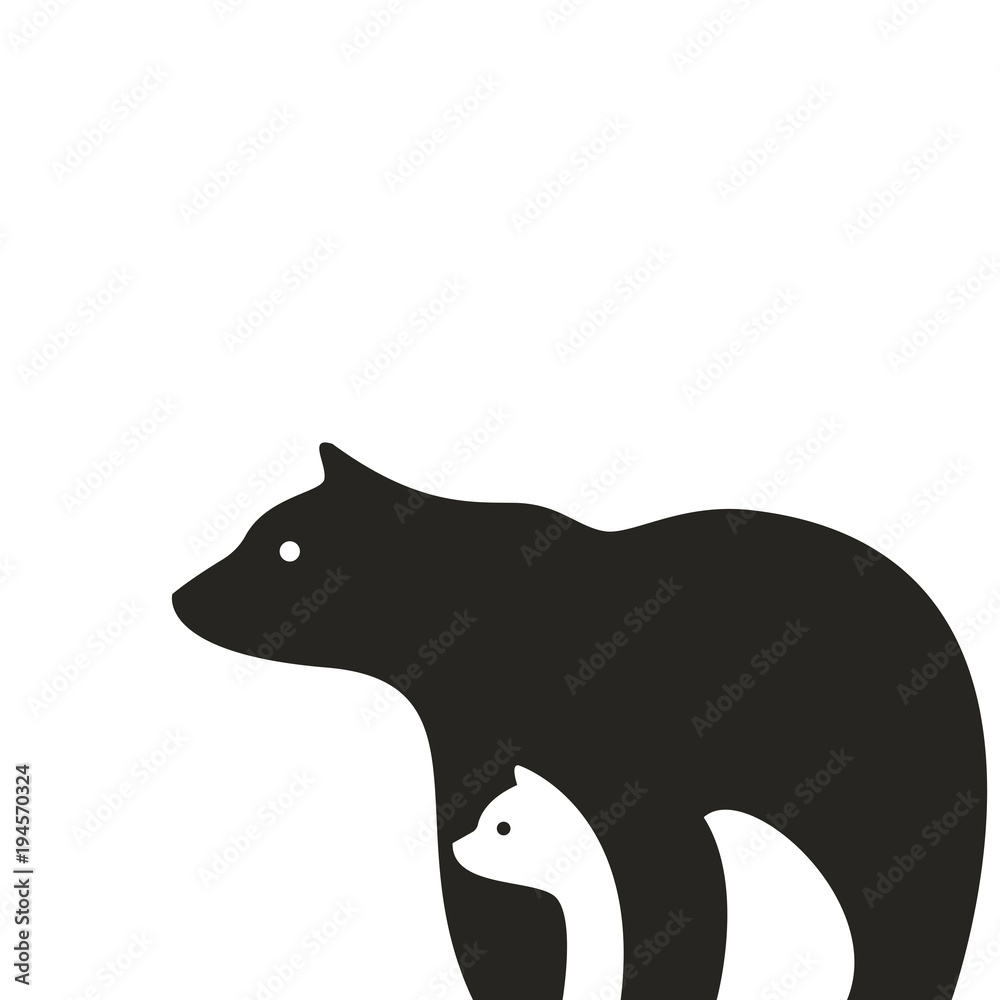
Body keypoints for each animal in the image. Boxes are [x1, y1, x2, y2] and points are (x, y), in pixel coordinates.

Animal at [173, 442, 987, 1000]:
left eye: (284, 545)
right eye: (257, 532)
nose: (182, 595)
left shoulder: (629, 768)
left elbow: (673, 892)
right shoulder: (468, 747)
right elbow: (496, 909)